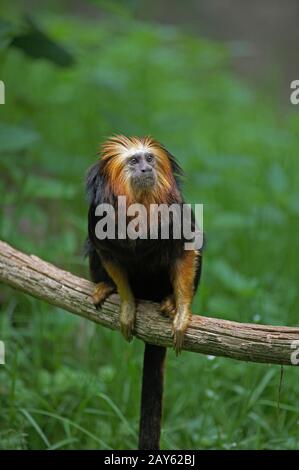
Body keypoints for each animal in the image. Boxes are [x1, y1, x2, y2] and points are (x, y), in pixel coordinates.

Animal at [86, 135, 204, 448]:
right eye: (133, 161)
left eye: (149, 159)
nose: (145, 169)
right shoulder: (97, 215)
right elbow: (107, 253)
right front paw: (127, 305)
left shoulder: (176, 211)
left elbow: (185, 249)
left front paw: (182, 311)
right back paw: (105, 286)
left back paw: (168, 301)